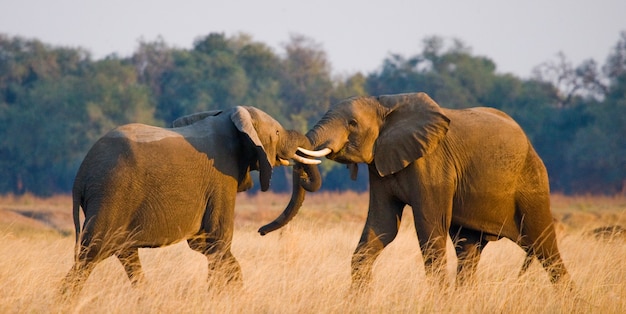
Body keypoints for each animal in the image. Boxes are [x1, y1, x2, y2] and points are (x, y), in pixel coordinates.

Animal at [62, 106, 322, 296]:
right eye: (277, 134)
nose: (261, 231)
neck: (233, 116)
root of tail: (79, 177)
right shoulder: (222, 177)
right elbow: (218, 239)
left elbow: (203, 243)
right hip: (111, 194)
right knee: (91, 254)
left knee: (125, 253)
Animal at [258, 92, 572, 290]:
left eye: (352, 123)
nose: (261, 231)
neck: (384, 104)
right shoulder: (381, 163)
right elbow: (382, 227)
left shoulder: (433, 164)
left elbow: (429, 229)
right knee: (468, 249)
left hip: (532, 182)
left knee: (545, 248)